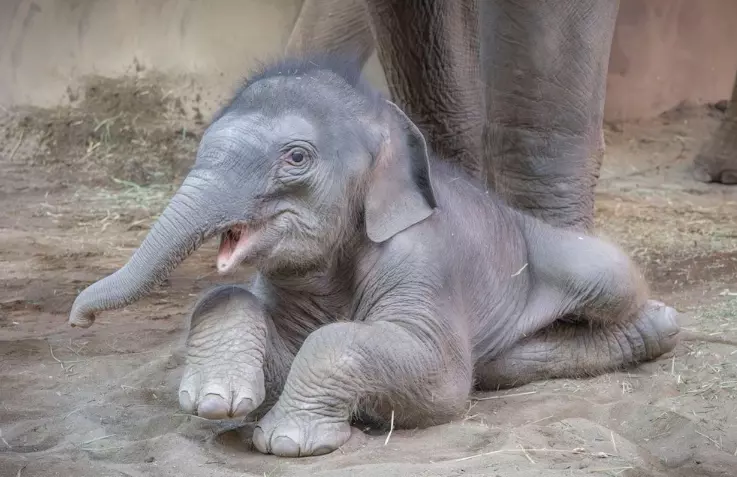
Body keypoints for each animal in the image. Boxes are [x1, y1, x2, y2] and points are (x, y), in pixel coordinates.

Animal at [67, 55, 681, 457]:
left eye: (295, 157)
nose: (79, 320)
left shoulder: (420, 261)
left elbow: (436, 379)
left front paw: (288, 441)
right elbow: (243, 311)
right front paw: (217, 400)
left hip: (580, 263)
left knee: (610, 282)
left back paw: (661, 322)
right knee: (498, 365)